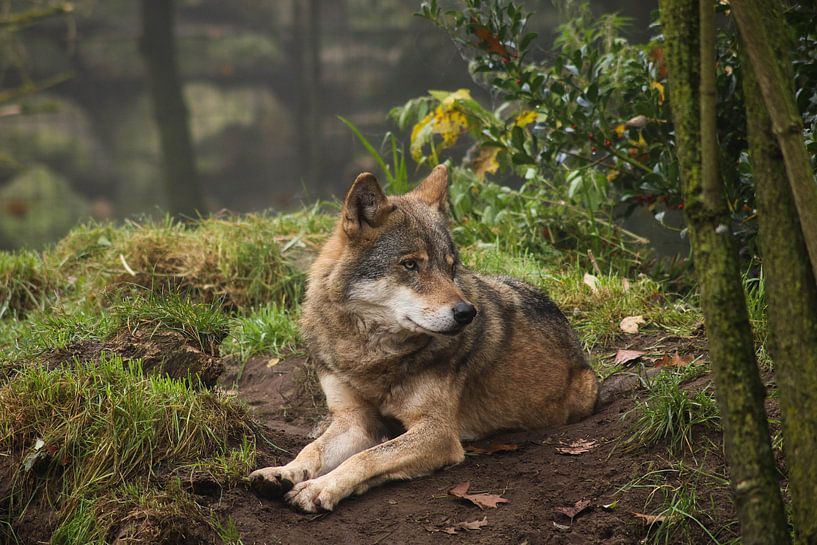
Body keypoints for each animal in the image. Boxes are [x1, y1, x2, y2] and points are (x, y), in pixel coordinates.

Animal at [249, 165, 598, 512]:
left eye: (451, 267)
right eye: (410, 264)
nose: (467, 313)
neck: (369, 354)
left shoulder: (438, 432)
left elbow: (367, 457)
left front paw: (319, 487)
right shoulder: (353, 420)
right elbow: (313, 450)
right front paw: (282, 471)